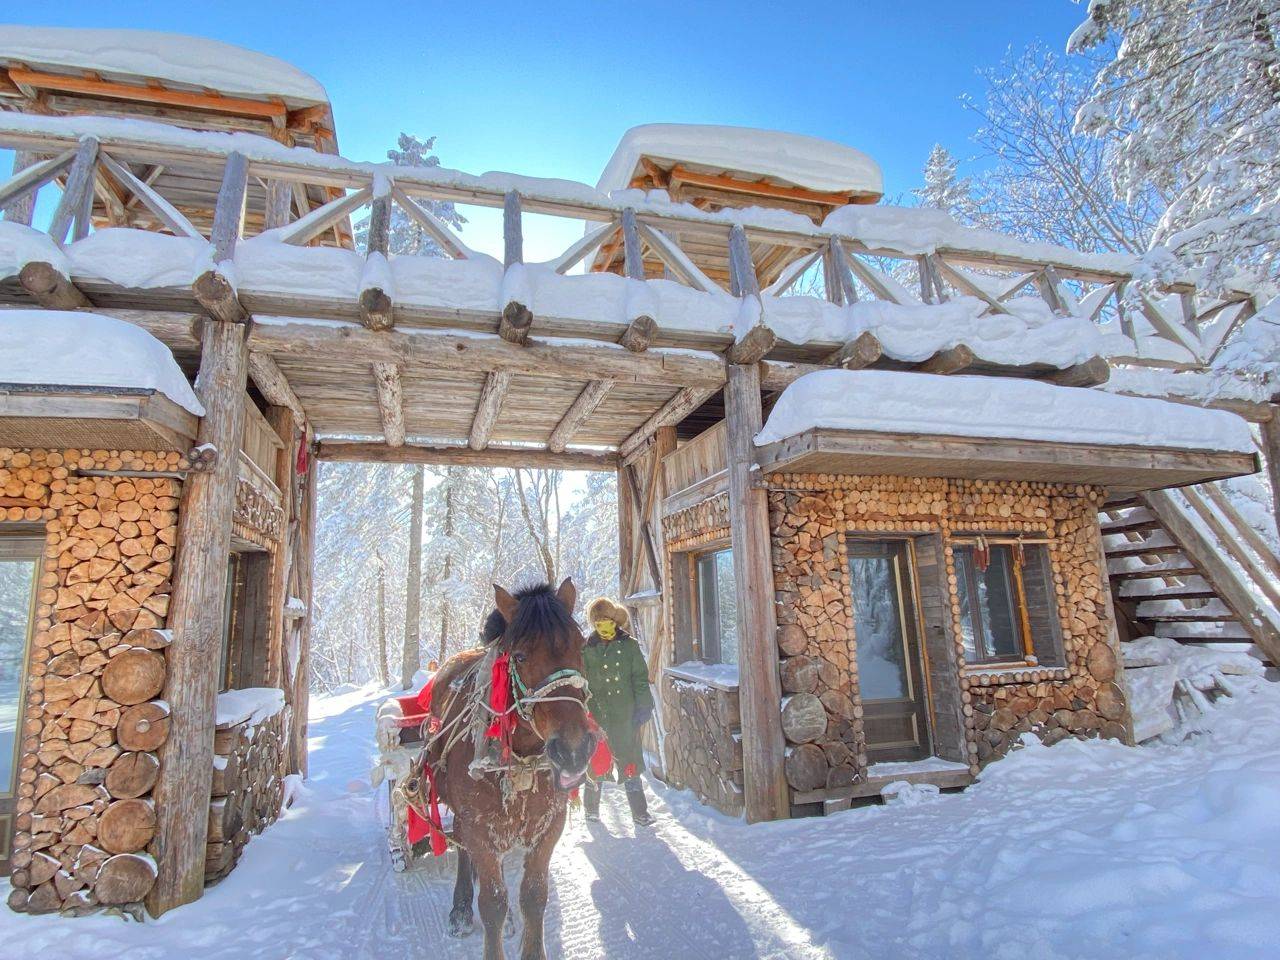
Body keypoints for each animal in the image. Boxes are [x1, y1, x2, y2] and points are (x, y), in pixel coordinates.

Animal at [422, 578, 596, 960]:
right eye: (520, 656)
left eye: (581, 646)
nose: (574, 749)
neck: (521, 763)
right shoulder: (479, 828)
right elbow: (493, 903)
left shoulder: (549, 826)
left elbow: (533, 896)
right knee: (463, 850)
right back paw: (460, 908)